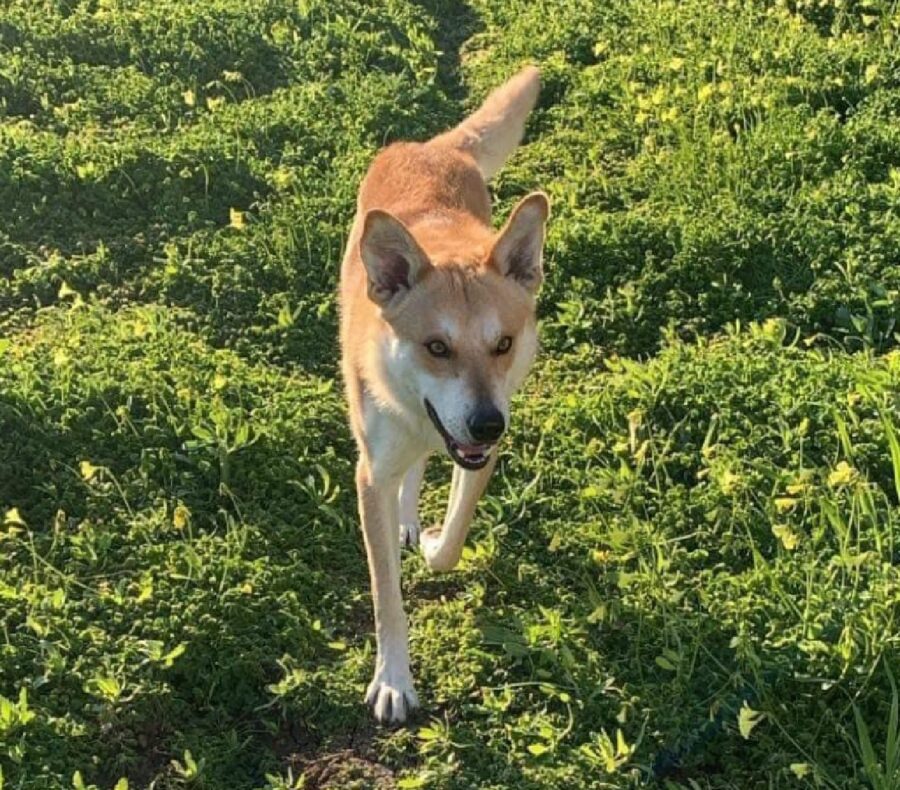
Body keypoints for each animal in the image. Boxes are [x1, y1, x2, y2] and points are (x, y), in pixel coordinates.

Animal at [338, 66, 548, 724]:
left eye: (503, 343)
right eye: (436, 346)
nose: (487, 424)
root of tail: (435, 147)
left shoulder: (480, 453)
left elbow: (452, 543)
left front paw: (431, 541)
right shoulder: (370, 474)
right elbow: (385, 594)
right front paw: (393, 680)